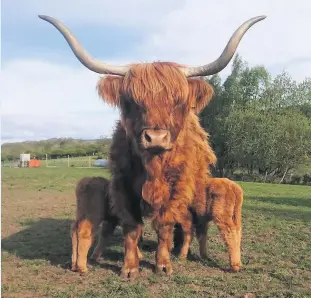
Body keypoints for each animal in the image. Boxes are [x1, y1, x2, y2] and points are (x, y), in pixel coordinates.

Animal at [38, 14, 266, 280]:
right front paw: (130, 267)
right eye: (133, 101)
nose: (156, 138)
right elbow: (132, 228)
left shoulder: (177, 191)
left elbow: (165, 226)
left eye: (178, 102)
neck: (153, 168)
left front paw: (163, 264)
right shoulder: (123, 188)